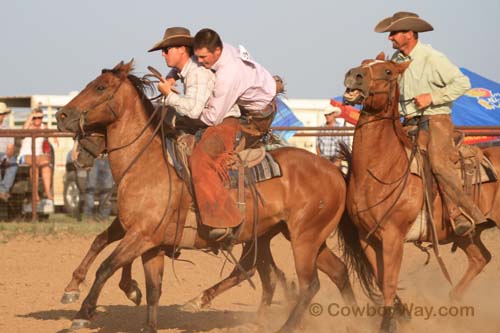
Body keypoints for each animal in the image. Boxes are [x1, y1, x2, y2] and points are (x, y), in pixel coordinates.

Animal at [56, 60, 356, 332]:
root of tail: (334, 171)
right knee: (333, 272)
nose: (61, 116)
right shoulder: (143, 238)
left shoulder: (142, 235)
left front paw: (84, 312)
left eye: (100, 86)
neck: (149, 164)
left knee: (308, 284)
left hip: (303, 239)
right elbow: (142, 280)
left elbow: (107, 266)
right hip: (293, 237)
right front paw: (81, 288)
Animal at [340, 52, 500, 332]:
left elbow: (390, 281)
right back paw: (452, 304)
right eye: (364, 62)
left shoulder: (393, 237)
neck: (382, 168)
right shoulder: (366, 238)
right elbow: (382, 280)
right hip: (466, 234)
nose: (353, 75)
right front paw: (401, 314)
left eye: (388, 71)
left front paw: (388, 322)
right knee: (481, 258)